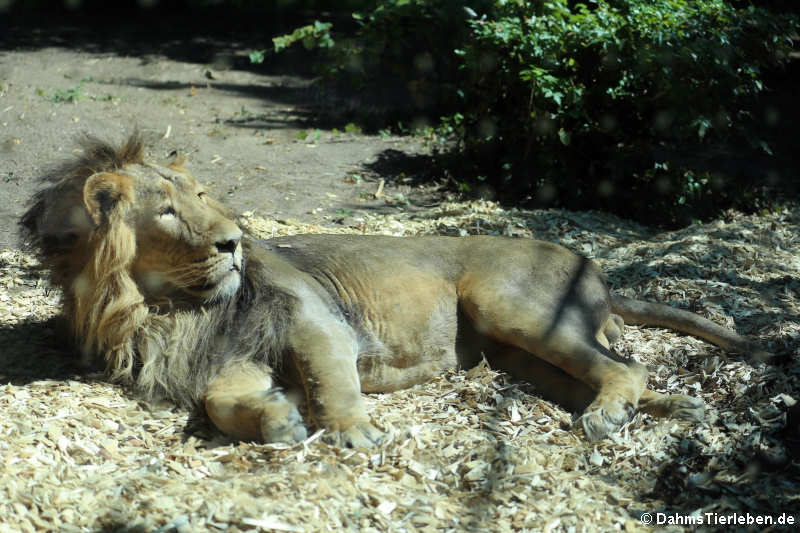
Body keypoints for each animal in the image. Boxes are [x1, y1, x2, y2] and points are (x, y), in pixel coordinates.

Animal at [18, 134, 768, 444]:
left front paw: (353, 433)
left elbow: (332, 379)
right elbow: (221, 401)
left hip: (508, 306)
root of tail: (595, 264)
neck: (165, 308)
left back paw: (614, 418)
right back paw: (680, 409)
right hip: (516, 354)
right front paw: (280, 418)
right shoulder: (223, 354)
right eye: (168, 213)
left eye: (200, 198)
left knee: (622, 370)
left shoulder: (317, 319)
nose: (234, 239)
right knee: (619, 372)